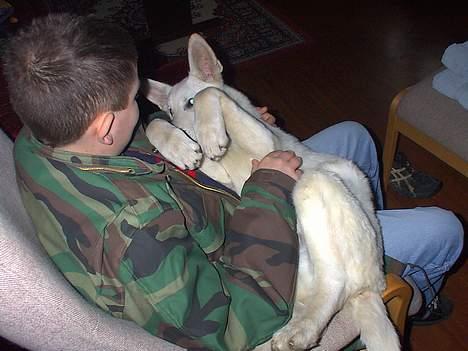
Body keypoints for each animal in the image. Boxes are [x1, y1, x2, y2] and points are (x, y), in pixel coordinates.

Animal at [144, 33, 398, 351]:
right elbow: (153, 125)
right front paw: (178, 147)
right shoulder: (222, 174)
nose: (186, 136)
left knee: (336, 281)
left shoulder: (266, 142)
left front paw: (208, 136)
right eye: (170, 111)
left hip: (314, 185)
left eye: (189, 104)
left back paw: (302, 330)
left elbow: (209, 94)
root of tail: (373, 286)